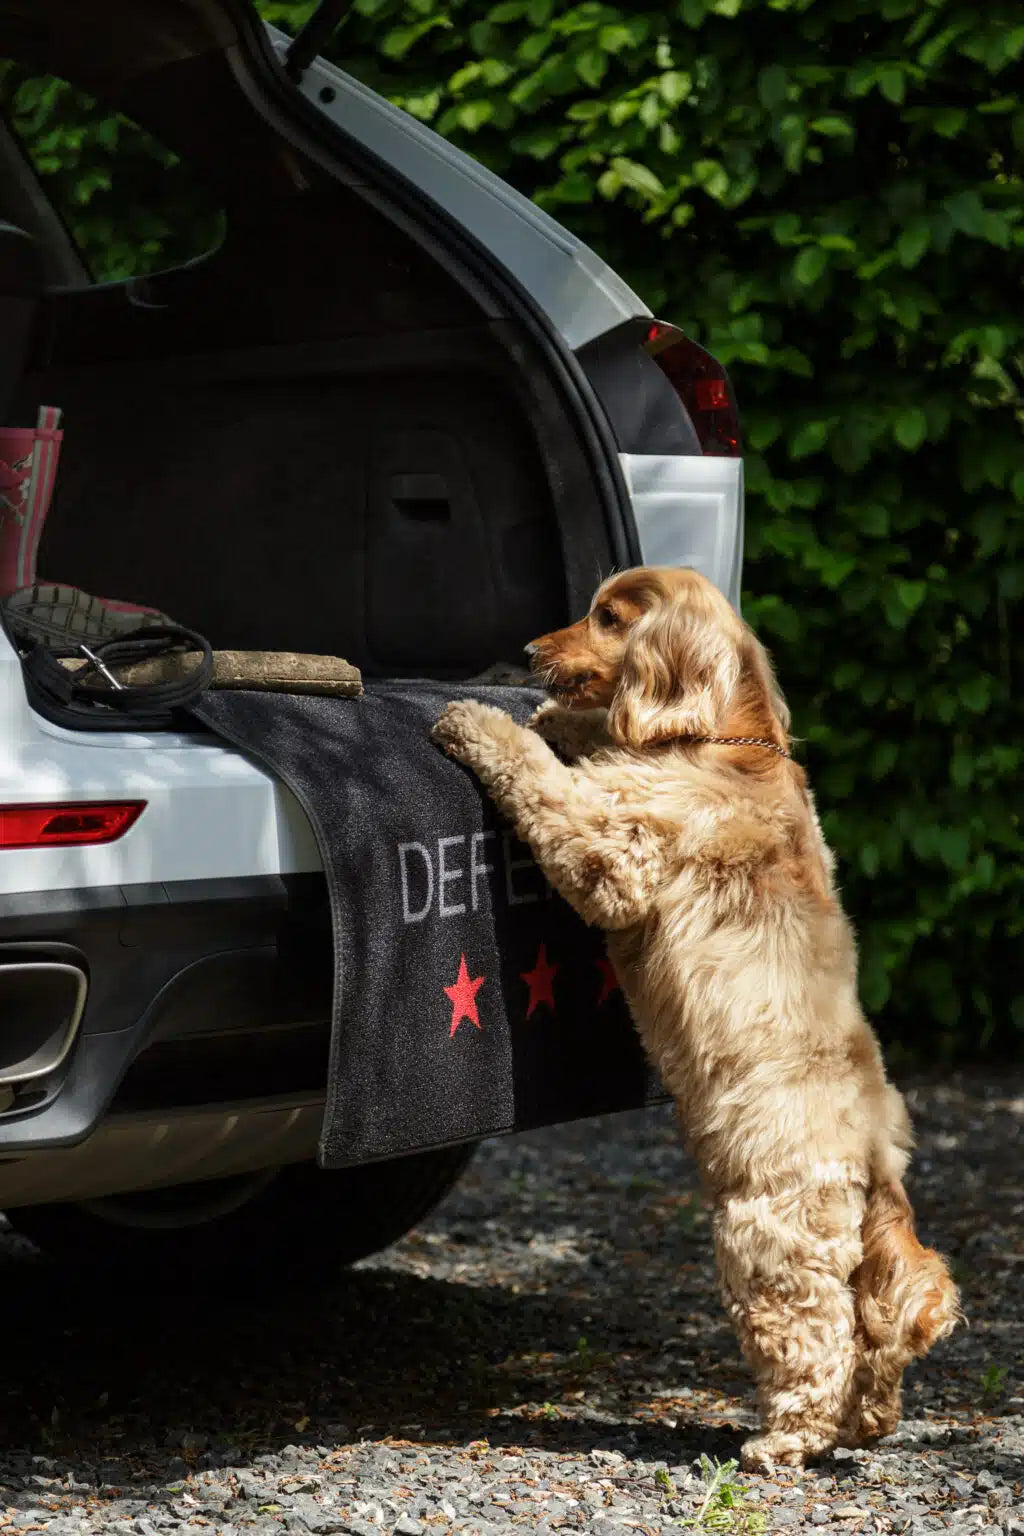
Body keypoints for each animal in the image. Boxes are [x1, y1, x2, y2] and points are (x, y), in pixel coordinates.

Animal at [436, 568, 964, 1474]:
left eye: (609, 617)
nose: (532, 650)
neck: (723, 739)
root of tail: (875, 1156)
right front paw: (555, 718)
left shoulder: (612, 846)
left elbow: (541, 780)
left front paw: (484, 722)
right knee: (876, 1343)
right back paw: (866, 1422)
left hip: (767, 1240)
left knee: (817, 1341)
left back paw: (784, 1439)